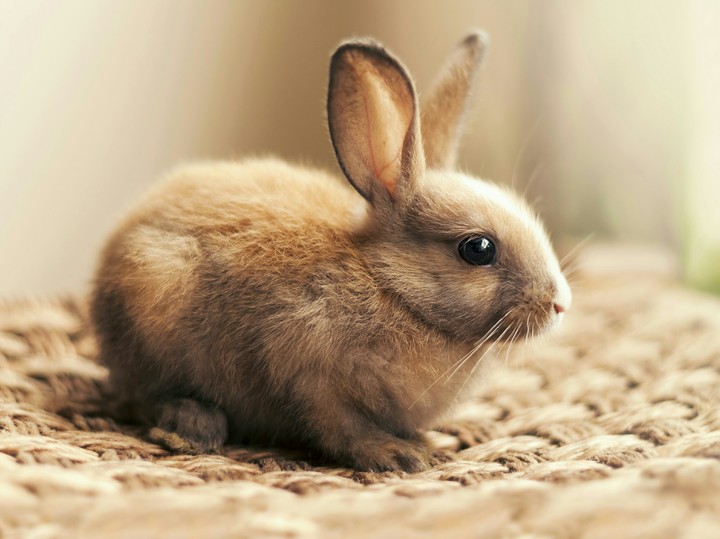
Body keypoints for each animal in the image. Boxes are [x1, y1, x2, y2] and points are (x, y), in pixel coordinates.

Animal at [90, 31, 571, 473]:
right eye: (478, 248)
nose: (559, 303)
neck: (393, 288)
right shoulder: (310, 376)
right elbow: (339, 428)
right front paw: (396, 455)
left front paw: (421, 443)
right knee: (146, 396)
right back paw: (192, 427)